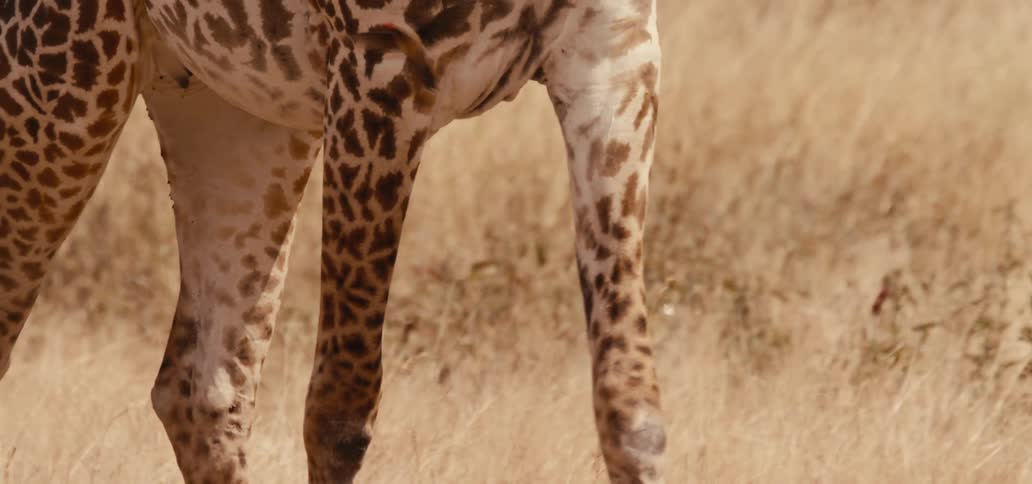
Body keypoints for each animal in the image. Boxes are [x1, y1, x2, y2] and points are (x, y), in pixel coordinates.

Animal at [0, 0, 665, 482]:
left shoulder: (617, 51)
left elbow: (632, 407)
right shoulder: (381, 59)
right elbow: (341, 411)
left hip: (232, 110)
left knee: (204, 389)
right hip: (64, 85)